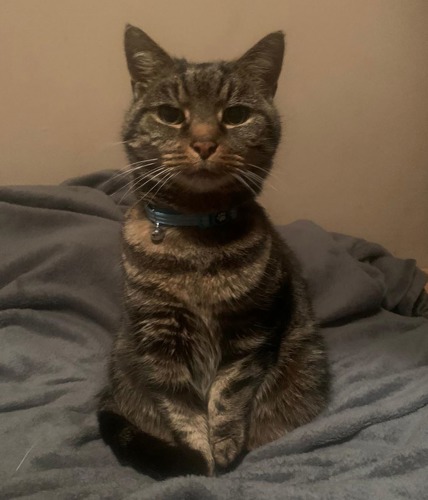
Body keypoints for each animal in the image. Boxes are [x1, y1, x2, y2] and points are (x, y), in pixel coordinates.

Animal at [97, 25, 330, 478]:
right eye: (170, 114)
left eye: (236, 114)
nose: (204, 143)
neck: (195, 244)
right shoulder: (160, 338)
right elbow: (182, 409)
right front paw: (198, 461)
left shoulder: (252, 329)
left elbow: (227, 395)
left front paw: (221, 451)